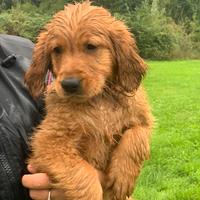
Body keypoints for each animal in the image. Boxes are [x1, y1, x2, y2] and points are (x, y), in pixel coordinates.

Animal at [24, 0, 153, 199]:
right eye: (57, 50)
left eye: (91, 46)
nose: (69, 84)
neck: (100, 99)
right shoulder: (49, 141)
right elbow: (83, 174)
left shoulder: (144, 120)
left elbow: (136, 135)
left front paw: (123, 176)